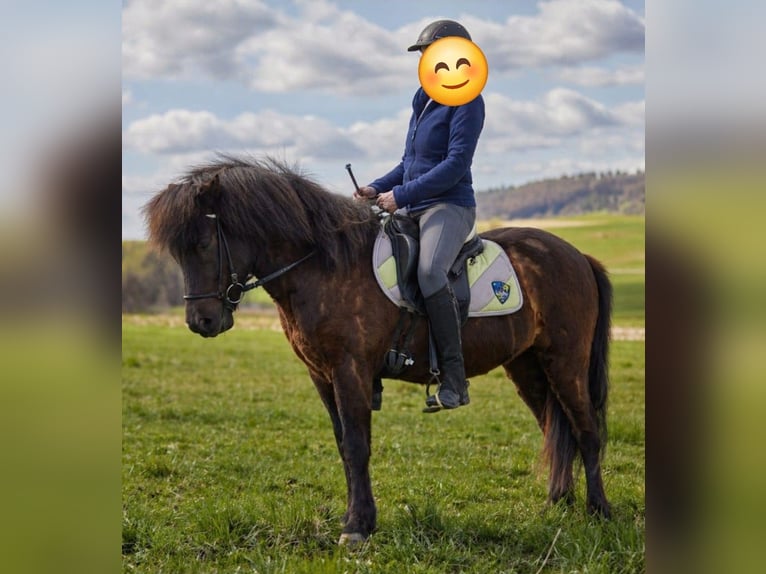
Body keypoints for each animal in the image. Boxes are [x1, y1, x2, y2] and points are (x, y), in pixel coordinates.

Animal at [143, 155, 613, 545]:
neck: (323, 265)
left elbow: (356, 445)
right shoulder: (321, 374)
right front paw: (359, 519)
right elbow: (345, 445)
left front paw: (355, 526)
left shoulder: (349, 369)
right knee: (554, 426)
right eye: (178, 251)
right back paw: (557, 503)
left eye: (204, 244)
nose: (201, 322)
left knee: (586, 430)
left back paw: (599, 511)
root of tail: (577, 255)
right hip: (528, 367)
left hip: (565, 362)